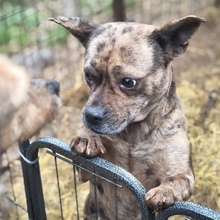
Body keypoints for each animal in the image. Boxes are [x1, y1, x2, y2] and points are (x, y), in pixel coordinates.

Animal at [49, 15, 205, 220]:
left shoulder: (183, 173)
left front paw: (164, 192)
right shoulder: (88, 173)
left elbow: (176, 181)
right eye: (88, 76)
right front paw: (87, 137)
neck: (134, 131)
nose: (90, 115)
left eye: (128, 82)